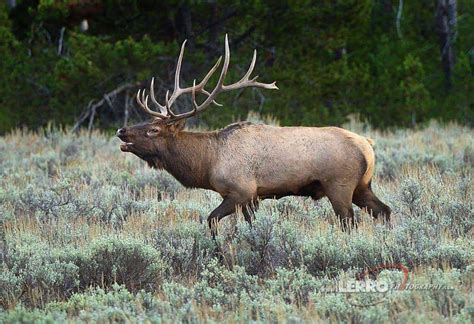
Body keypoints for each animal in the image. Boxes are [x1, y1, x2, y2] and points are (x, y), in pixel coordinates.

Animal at [116, 35, 390, 237]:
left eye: (154, 130)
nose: (121, 131)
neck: (208, 163)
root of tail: (368, 146)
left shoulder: (241, 190)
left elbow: (211, 219)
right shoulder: (251, 197)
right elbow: (250, 224)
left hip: (339, 185)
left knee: (350, 221)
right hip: (362, 185)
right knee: (385, 211)